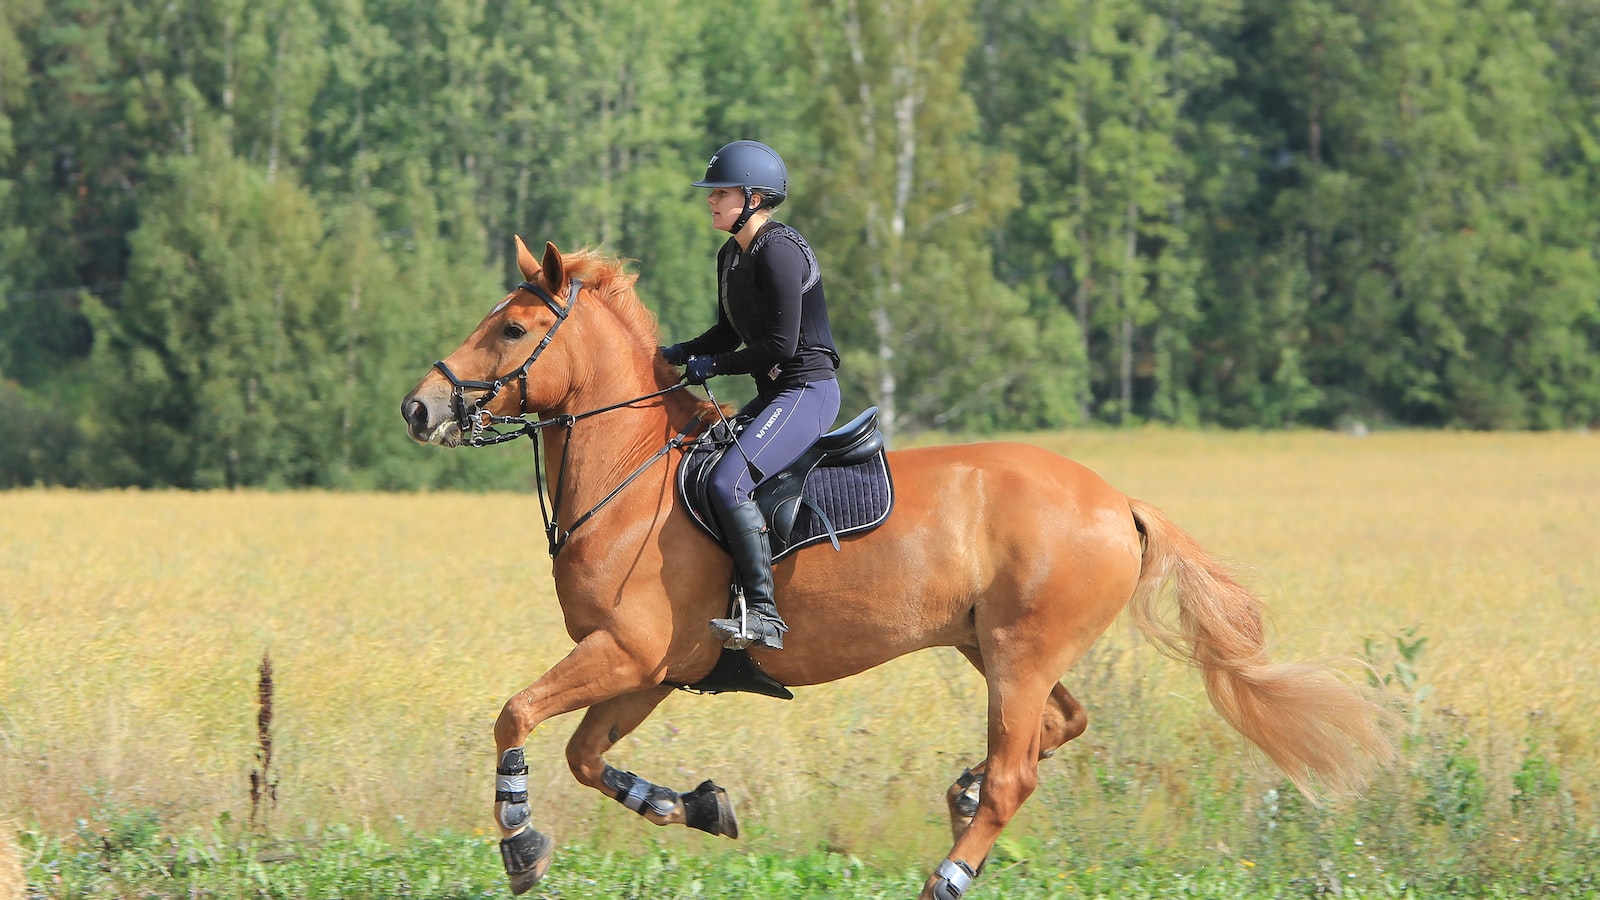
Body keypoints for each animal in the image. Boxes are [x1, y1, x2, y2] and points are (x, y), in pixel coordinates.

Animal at [400, 237, 1397, 899]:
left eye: (513, 328)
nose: (419, 408)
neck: (632, 470)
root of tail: (1119, 502)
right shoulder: (653, 669)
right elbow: (584, 756)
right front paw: (704, 807)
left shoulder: (628, 652)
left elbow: (516, 715)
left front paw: (520, 843)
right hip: (996, 649)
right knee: (1059, 727)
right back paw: (961, 794)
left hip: (1020, 654)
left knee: (1019, 770)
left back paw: (949, 873)